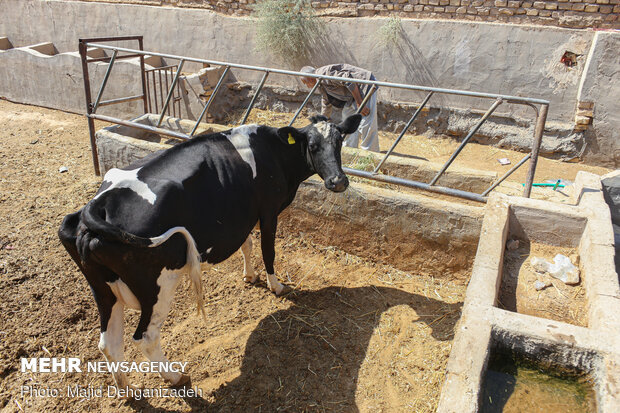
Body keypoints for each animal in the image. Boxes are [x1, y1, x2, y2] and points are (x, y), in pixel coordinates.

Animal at [59, 114, 358, 388]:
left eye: (340, 141)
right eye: (312, 145)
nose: (338, 181)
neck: (272, 149)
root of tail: (96, 207)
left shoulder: (242, 215)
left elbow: (247, 244)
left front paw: (250, 276)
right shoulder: (269, 210)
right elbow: (268, 249)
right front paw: (277, 286)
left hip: (103, 290)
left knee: (108, 343)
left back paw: (128, 390)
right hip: (158, 286)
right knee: (146, 337)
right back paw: (175, 376)